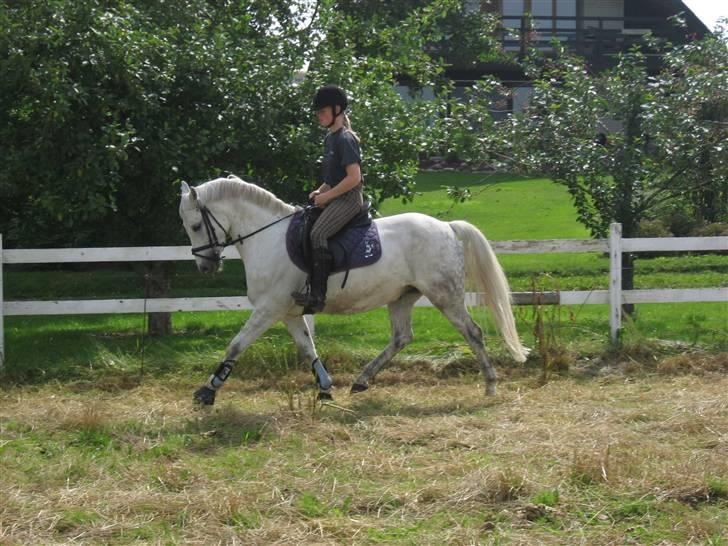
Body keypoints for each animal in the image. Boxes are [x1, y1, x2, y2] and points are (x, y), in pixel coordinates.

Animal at [178, 175, 527, 405]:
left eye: (195, 226)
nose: (206, 267)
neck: (268, 237)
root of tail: (448, 227)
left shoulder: (269, 308)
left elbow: (236, 345)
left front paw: (207, 391)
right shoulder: (288, 313)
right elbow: (308, 348)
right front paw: (325, 387)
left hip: (445, 296)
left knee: (472, 332)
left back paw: (490, 385)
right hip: (403, 296)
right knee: (401, 338)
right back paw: (361, 381)